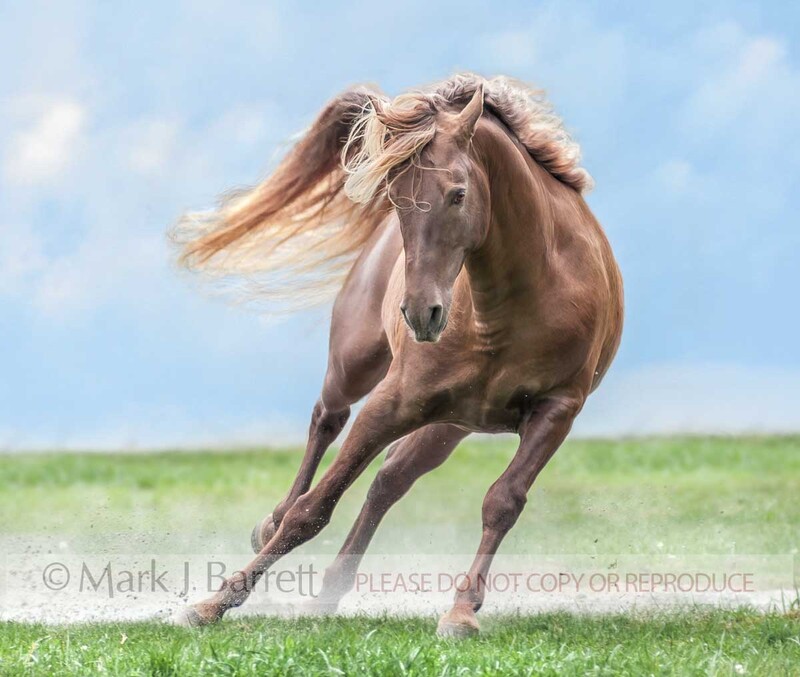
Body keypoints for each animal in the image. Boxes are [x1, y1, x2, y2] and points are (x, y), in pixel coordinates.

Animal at [170, 73, 624, 636]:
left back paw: (327, 594)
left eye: (458, 194)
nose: (421, 312)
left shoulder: (556, 410)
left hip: (448, 425)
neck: (511, 306)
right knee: (327, 421)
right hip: (357, 367)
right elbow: (313, 509)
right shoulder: (395, 400)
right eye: (395, 196)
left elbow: (502, 501)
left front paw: (461, 612)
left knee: (389, 481)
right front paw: (213, 602)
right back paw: (270, 522)